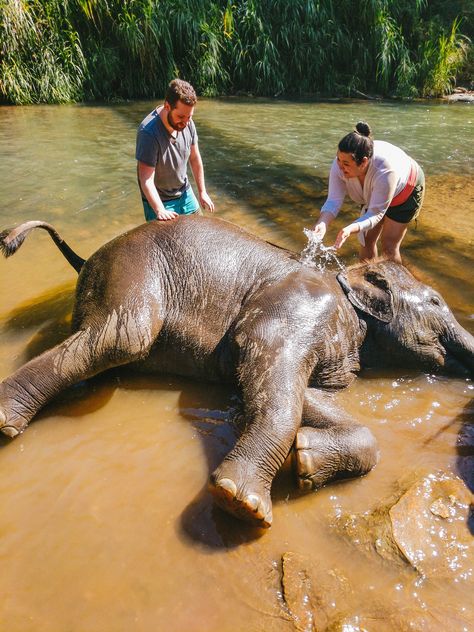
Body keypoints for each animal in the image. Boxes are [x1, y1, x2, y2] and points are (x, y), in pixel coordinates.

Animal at [0, 217, 474, 528]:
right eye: (435, 301)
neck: (345, 286)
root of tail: (87, 259)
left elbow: (304, 396)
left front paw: (306, 459)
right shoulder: (296, 309)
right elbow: (272, 378)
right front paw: (240, 502)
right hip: (130, 271)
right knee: (125, 337)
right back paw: (6, 420)